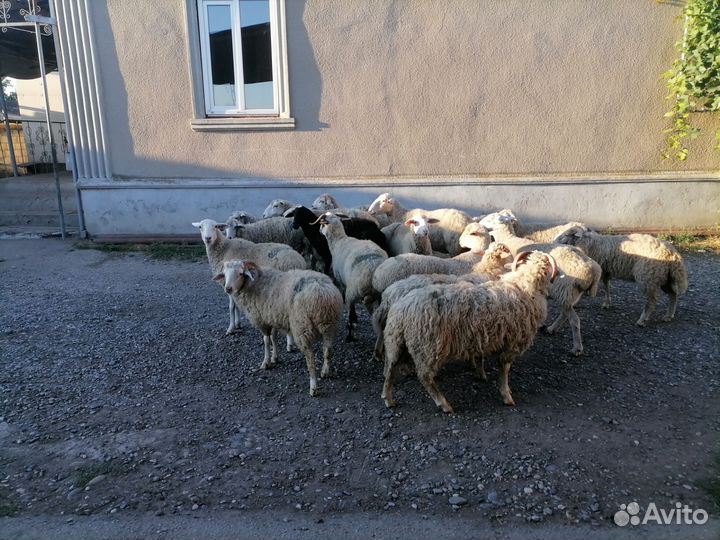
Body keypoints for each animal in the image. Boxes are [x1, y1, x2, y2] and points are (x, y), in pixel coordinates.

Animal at [214, 260, 342, 396]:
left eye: (240, 273)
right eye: (224, 274)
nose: (228, 289)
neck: (252, 283)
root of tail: (322, 293)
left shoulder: (262, 320)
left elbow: (266, 341)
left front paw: (266, 363)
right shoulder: (273, 317)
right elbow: (274, 338)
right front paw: (275, 358)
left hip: (302, 327)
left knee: (311, 358)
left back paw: (313, 387)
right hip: (330, 325)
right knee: (328, 350)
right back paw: (325, 372)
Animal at [312, 212, 388, 341]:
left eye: (322, 224)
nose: (319, 231)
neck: (338, 241)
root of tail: (373, 266)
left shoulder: (342, 282)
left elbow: (351, 311)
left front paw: (353, 322)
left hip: (352, 291)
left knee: (351, 311)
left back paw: (350, 335)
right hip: (381, 294)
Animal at [381, 251, 558, 413]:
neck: (525, 286)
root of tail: (401, 309)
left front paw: (485, 377)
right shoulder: (513, 342)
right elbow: (504, 369)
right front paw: (506, 395)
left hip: (396, 342)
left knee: (390, 369)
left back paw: (388, 398)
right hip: (427, 347)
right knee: (424, 377)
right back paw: (444, 404)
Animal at [478, 212, 602, 356]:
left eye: (492, 218)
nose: (480, 224)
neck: (510, 240)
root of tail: (593, 271)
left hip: (564, 291)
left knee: (574, 320)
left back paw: (577, 347)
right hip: (568, 294)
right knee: (565, 313)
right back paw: (552, 329)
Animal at [554, 226, 689, 326]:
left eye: (566, 234)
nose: (554, 242)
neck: (590, 243)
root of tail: (673, 254)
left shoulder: (598, 269)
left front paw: (577, 301)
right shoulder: (605, 270)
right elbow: (606, 285)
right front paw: (607, 303)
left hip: (648, 277)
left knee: (652, 300)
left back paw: (642, 320)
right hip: (665, 277)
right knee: (673, 294)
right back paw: (669, 315)